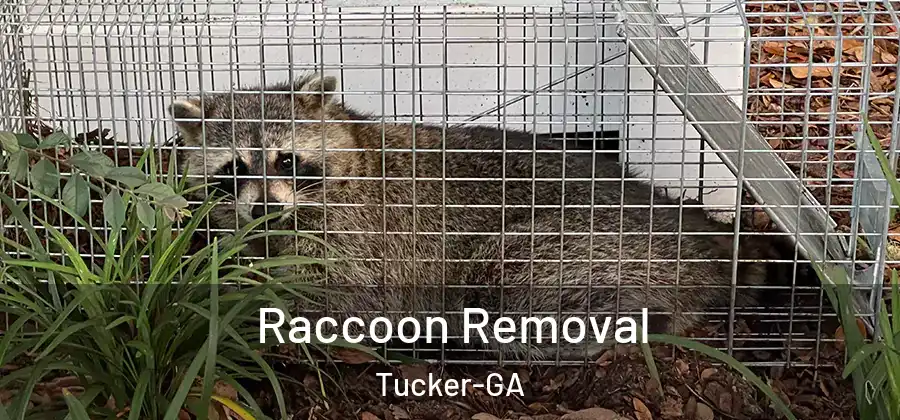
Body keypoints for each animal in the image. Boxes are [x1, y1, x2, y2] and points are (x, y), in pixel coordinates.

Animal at [168, 73, 799, 360]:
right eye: (234, 168)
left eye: (286, 159)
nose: (266, 206)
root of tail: (704, 241)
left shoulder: (364, 234)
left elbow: (343, 295)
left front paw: (253, 308)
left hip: (581, 245)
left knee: (509, 282)